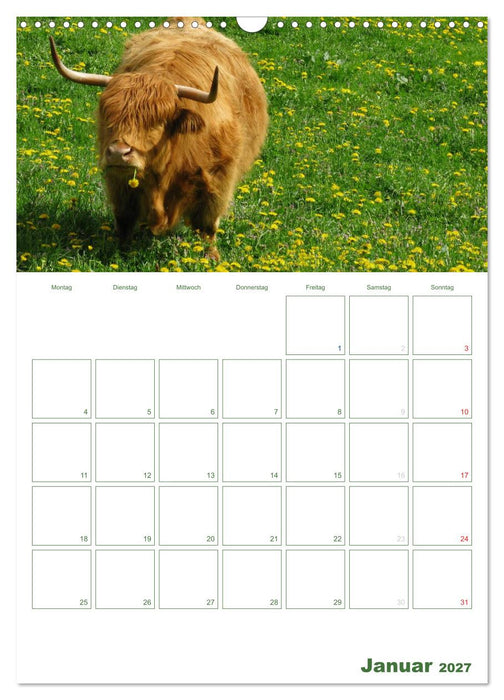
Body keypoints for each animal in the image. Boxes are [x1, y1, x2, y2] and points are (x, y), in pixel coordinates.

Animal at [49, 19, 268, 260]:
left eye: (156, 122)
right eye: (109, 115)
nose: (118, 153)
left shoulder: (219, 179)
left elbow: (207, 226)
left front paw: (211, 258)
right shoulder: (118, 183)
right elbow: (124, 219)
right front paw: (121, 252)